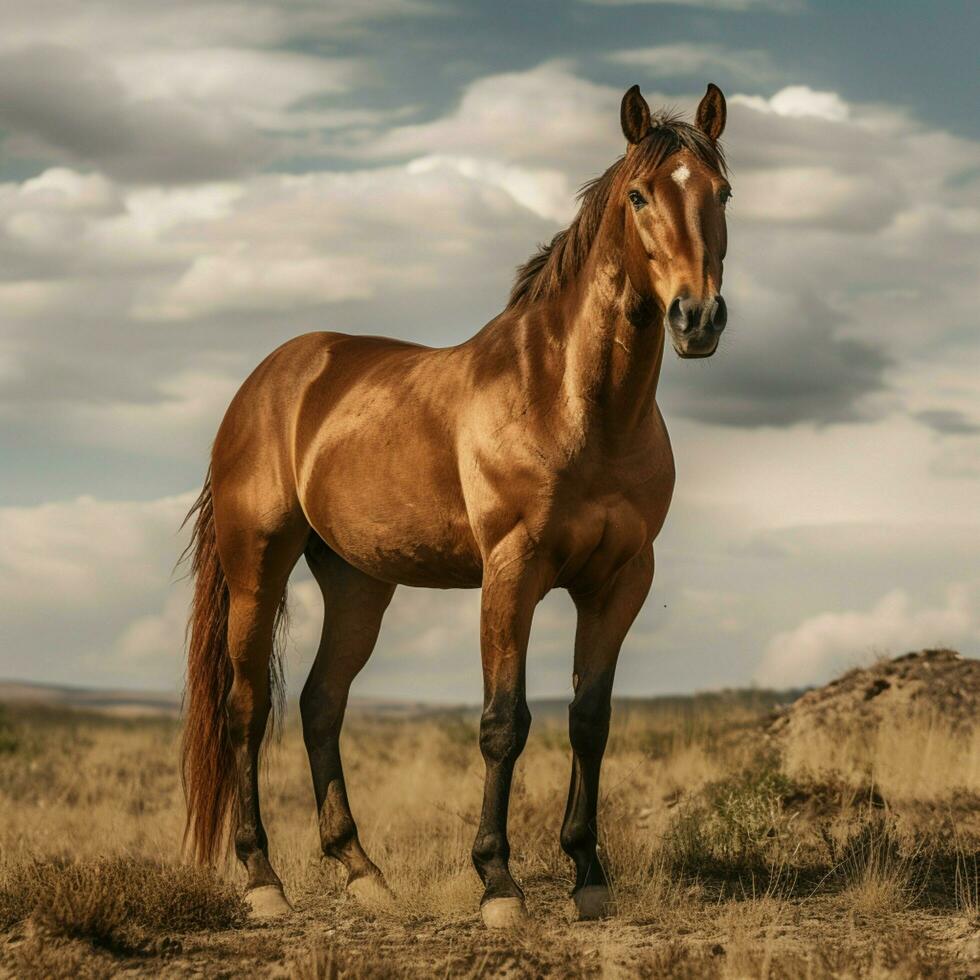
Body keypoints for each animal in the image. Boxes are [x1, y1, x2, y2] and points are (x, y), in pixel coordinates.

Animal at [180, 78, 732, 928]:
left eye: (723, 193)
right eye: (640, 195)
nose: (696, 319)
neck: (575, 403)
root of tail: (267, 381)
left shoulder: (620, 581)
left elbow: (590, 720)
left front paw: (588, 874)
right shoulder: (512, 571)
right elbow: (505, 722)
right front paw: (498, 883)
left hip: (358, 583)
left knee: (320, 703)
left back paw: (363, 873)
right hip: (257, 570)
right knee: (247, 710)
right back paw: (263, 880)